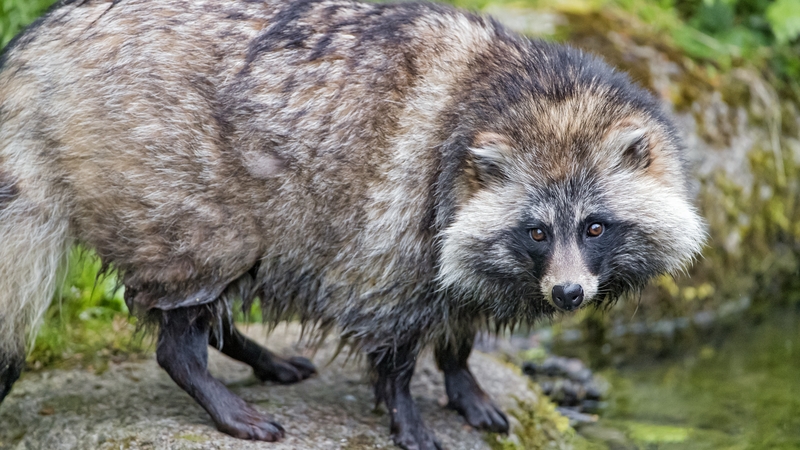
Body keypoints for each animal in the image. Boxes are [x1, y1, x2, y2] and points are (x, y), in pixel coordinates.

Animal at [0, 0, 706, 448]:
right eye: (537, 232)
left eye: (594, 228)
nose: (567, 294)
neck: (527, 91)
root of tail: (42, 45)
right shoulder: (401, 221)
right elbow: (395, 335)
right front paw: (406, 410)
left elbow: (461, 313)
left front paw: (462, 378)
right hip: (174, 187)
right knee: (193, 289)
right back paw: (206, 379)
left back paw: (252, 350)